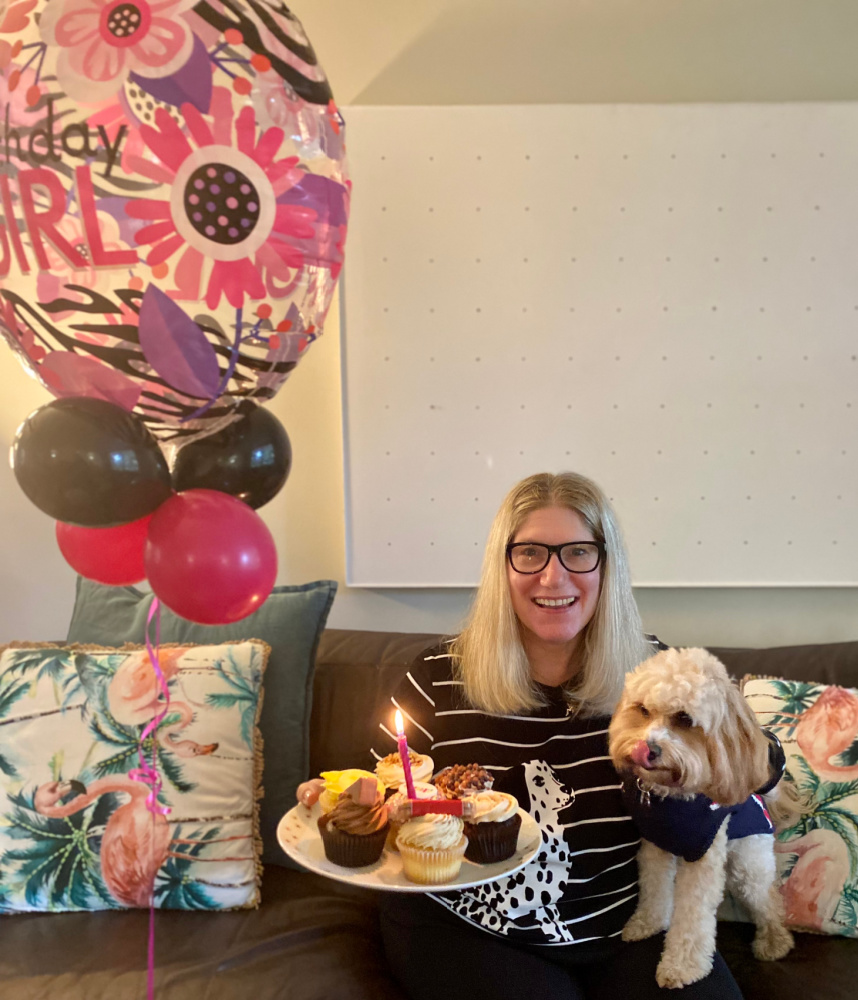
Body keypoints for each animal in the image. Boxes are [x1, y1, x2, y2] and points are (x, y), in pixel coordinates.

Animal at [604, 648, 792, 984]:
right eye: (643, 710)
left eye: (684, 718)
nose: (645, 749)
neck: (673, 800)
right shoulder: (655, 848)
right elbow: (654, 888)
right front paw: (648, 923)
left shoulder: (704, 858)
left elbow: (693, 916)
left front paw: (681, 966)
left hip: (748, 863)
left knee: (769, 899)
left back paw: (774, 940)